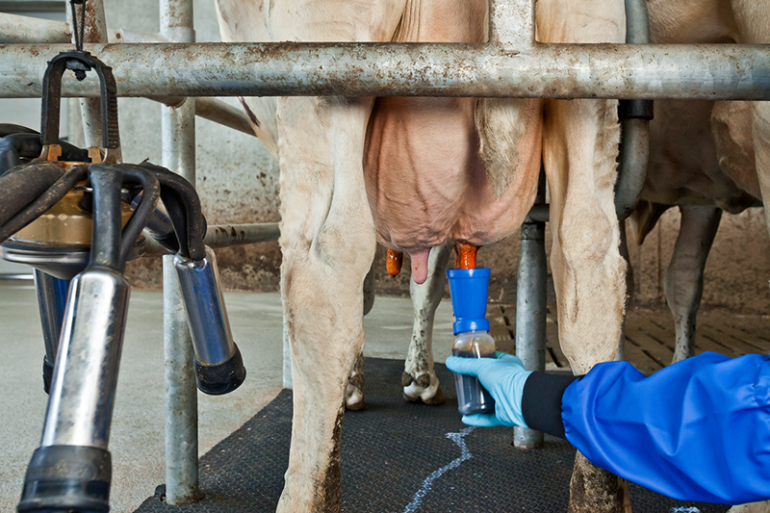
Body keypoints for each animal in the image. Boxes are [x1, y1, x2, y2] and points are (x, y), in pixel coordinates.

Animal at [216, 1, 632, 512]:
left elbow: (370, 294)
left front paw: (357, 386)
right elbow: (427, 285)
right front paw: (420, 376)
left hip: (321, 67)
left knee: (327, 263)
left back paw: (305, 494)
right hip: (587, 69)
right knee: (588, 255)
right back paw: (600, 490)